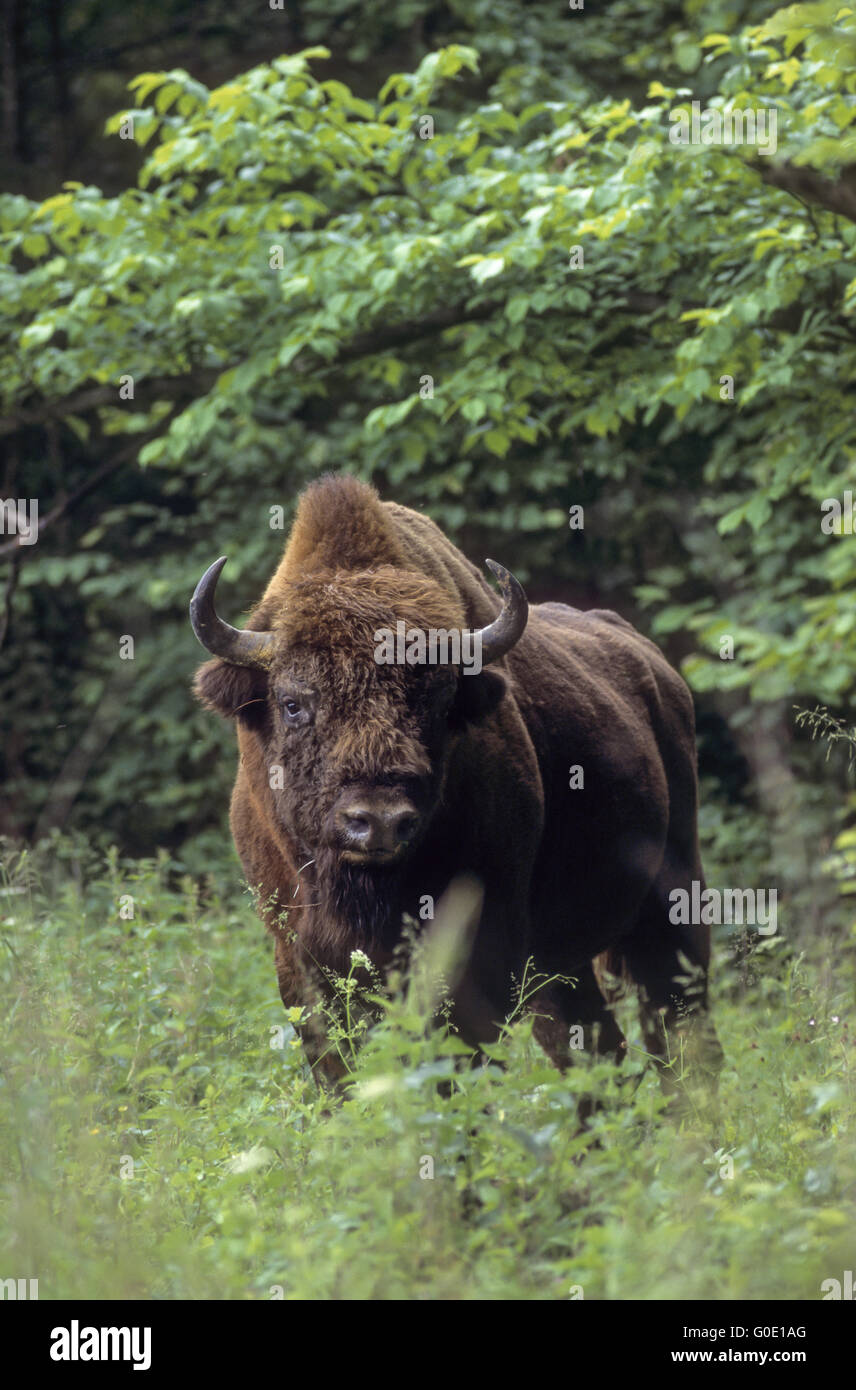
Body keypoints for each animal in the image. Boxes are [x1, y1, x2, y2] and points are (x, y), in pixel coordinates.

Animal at [190, 478, 717, 1084]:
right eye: (292, 702)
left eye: (440, 703)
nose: (378, 822)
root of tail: (660, 671)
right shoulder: (299, 959)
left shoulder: (481, 951)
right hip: (564, 961)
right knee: (597, 1045)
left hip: (672, 907)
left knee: (679, 1031)